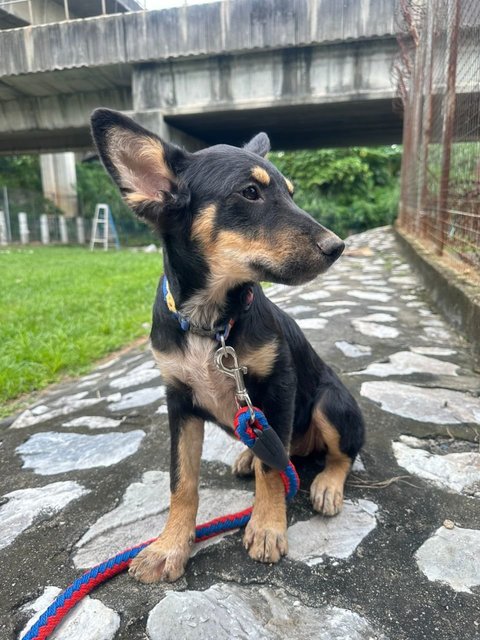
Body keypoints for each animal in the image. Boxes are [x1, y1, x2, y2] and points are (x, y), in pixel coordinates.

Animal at [90, 109, 364, 584]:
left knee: (337, 452)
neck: (210, 323)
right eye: (250, 193)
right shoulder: (179, 402)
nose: (337, 246)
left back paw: (326, 484)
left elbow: (273, 473)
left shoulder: (279, 385)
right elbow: (182, 481)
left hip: (329, 401)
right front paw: (170, 545)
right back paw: (248, 456)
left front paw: (267, 527)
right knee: (281, 449)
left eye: (290, 194)